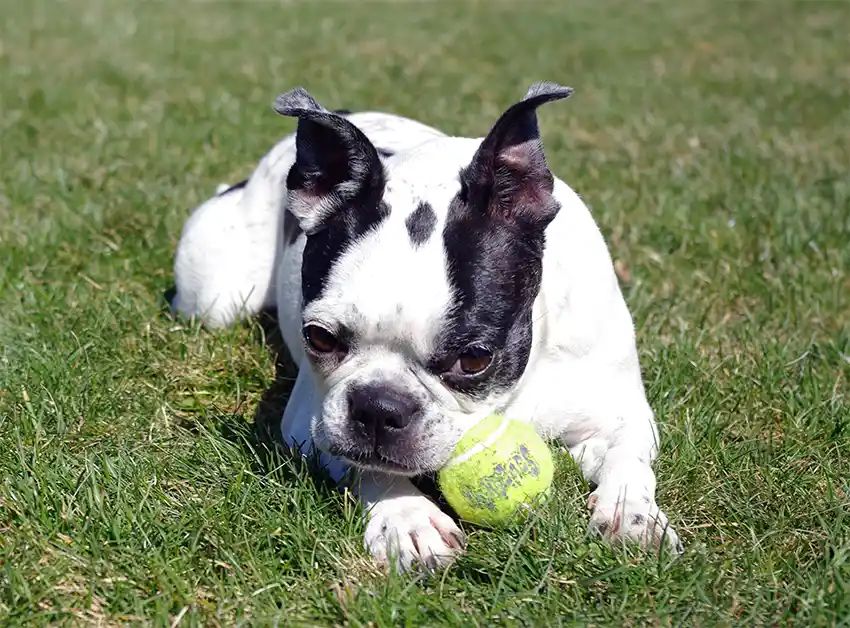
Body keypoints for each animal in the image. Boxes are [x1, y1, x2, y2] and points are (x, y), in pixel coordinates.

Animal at [172, 83, 684, 576]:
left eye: (474, 358)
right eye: (318, 337)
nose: (379, 408)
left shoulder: (621, 415)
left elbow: (628, 459)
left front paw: (632, 515)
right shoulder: (310, 423)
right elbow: (371, 467)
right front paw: (407, 518)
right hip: (218, 298)